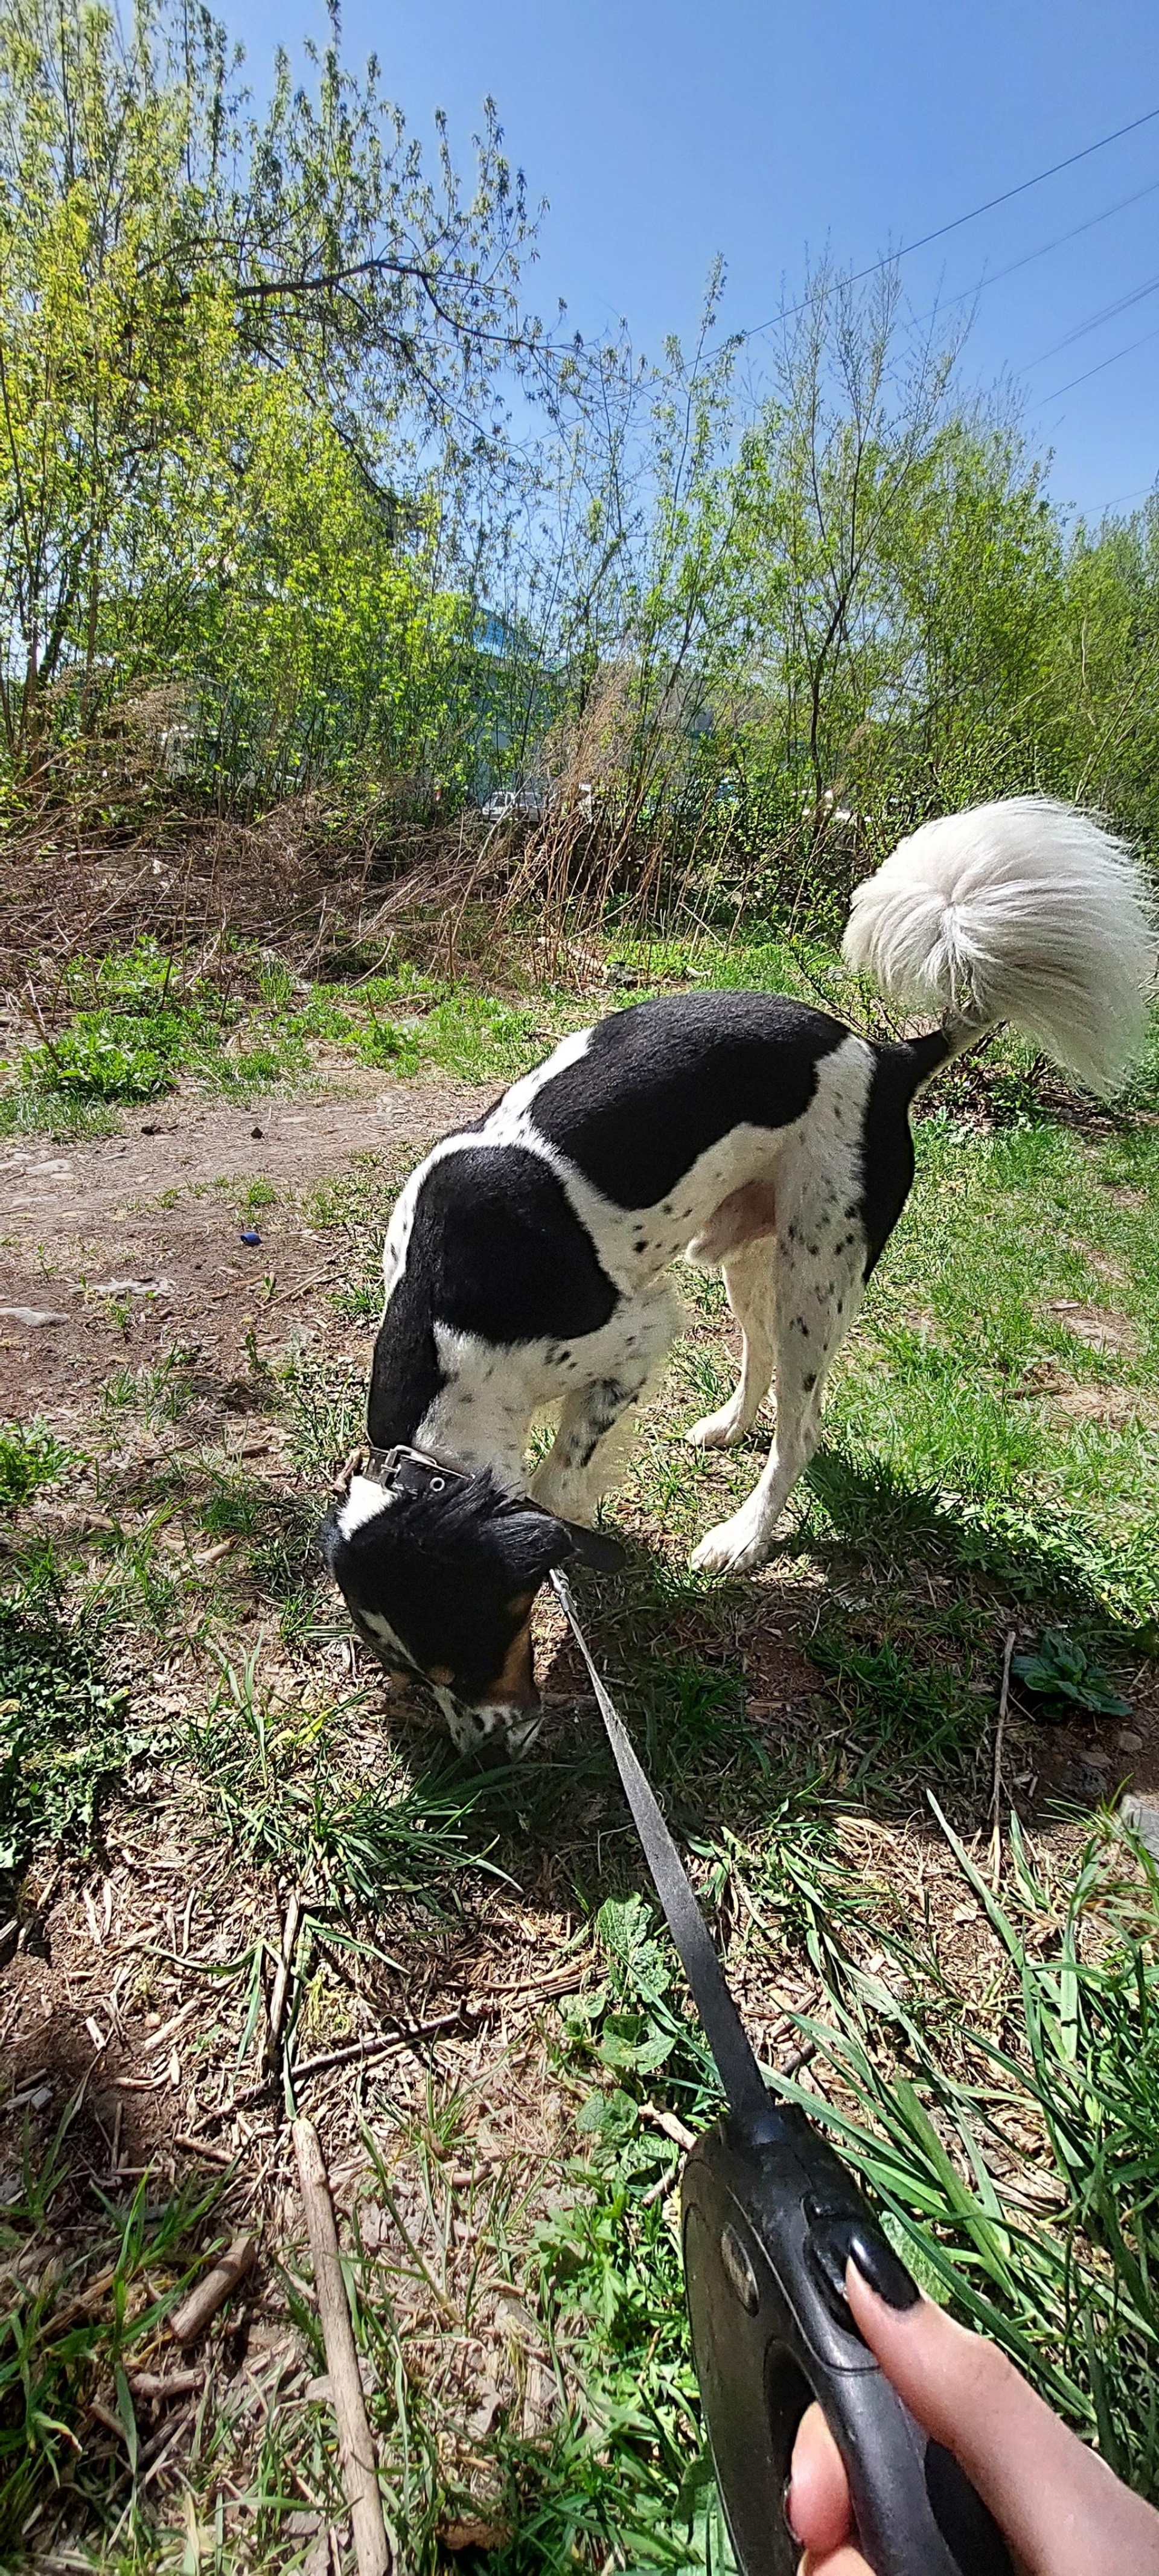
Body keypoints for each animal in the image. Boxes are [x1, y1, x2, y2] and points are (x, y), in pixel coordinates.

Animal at [322, 793, 1154, 1761]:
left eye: (474, 1643)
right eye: (411, 1670)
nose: (483, 1755)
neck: (446, 1325)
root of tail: (885, 1056)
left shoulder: (638, 1334)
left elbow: (560, 1484)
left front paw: (584, 1538)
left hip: (816, 1277)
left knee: (803, 1428)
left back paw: (745, 1537)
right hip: (754, 1252)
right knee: (760, 1360)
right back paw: (729, 1425)